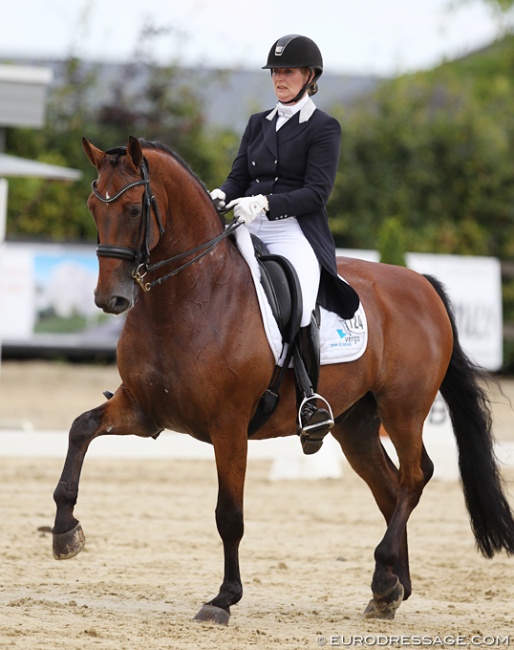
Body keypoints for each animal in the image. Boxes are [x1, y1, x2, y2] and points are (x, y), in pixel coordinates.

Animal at [52, 135, 512, 624]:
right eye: (92, 206)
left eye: (135, 209)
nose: (111, 299)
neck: (190, 296)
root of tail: (421, 284)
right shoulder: (143, 410)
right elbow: (81, 428)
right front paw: (65, 532)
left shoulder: (229, 426)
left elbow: (229, 515)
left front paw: (223, 599)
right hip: (356, 423)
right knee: (390, 488)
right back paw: (390, 590)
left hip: (403, 409)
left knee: (415, 476)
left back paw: (384, 575)